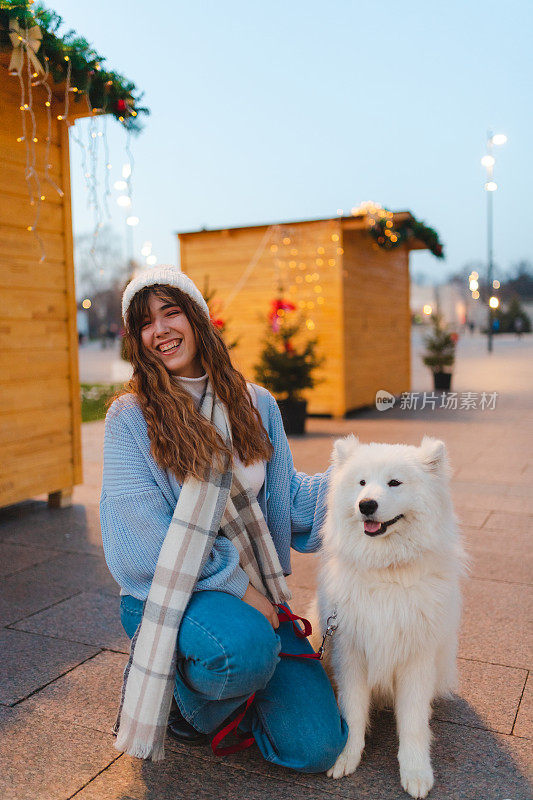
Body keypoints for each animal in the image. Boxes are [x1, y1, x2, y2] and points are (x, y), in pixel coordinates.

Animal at [312, 434, 466, 796]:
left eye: (394, 482)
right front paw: (346, 757)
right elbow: (352, 711)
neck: (386, 572)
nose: (366, 504)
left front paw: (416, 772)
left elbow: (413, 722)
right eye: (361, 483)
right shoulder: (351, 652)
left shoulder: (417, 658)